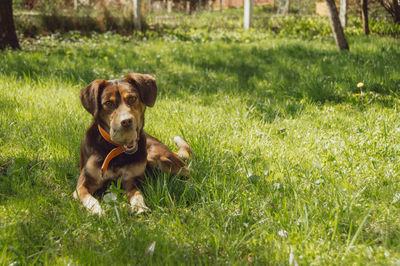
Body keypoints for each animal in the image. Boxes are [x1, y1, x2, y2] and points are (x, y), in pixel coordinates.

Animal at [74, 74, 192, 215]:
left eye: (132, 98)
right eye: (108, 103)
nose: (126, 121)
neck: (115, 150)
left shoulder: (131, 181)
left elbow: (137, 195)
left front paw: (140, 207)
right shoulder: (82, 185)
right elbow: (89, 198)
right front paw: (97, 210)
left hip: (155, 158)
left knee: (188, 171)